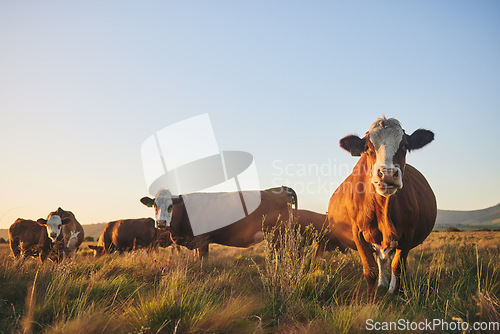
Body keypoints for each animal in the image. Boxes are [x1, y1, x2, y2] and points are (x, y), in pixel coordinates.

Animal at [140, 185, 296, 258]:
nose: (161, 223)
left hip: (279, 236)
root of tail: (282, 189)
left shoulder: (202, 241)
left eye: (171, 206)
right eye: (154, 206)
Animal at [326, 117, 436, 300]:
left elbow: (398, 267)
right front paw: (371, 299)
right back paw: (382, 284)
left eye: (404, 146)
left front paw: (398, 295)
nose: (388, 173)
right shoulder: (358, 233)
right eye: (368, 148)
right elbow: (370, 269)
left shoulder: (407, 234)